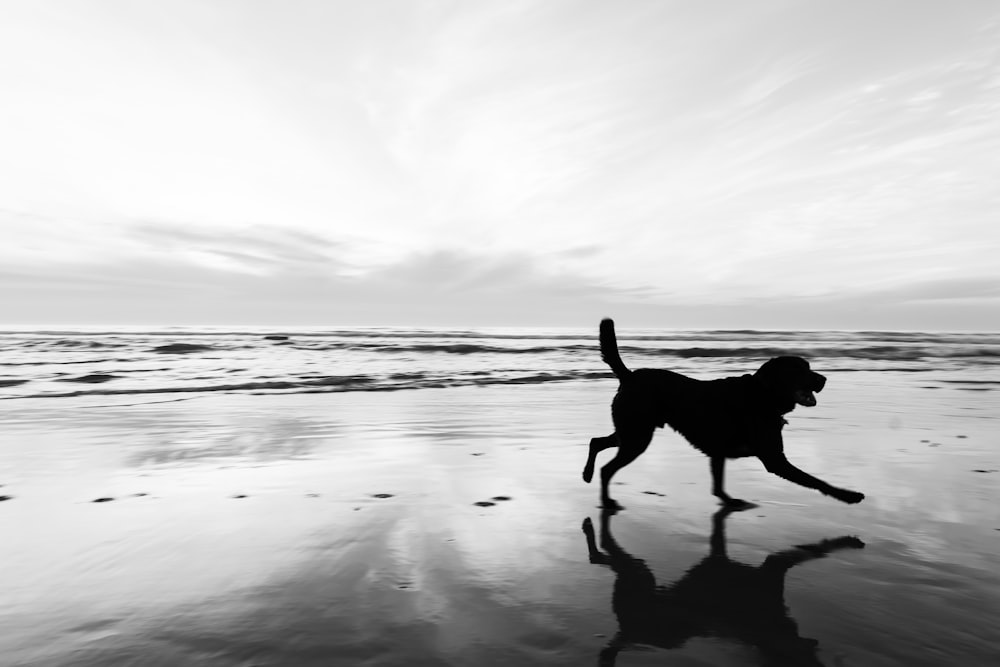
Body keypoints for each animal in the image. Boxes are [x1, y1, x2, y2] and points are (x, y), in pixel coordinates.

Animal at [584, 320, 864, 512]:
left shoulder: (718, 453)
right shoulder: (774, 459)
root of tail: (629, 375)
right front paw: (848, 496)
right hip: (637, 435)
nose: (824, 379)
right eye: (800, 370)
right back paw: (606, 500)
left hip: (633, 430)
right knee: (607, 468)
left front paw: (729, 502)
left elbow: (718, 486)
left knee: (597, 442)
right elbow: (818, 481)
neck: (763, 395)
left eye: (809, 367)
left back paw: (587, 475)